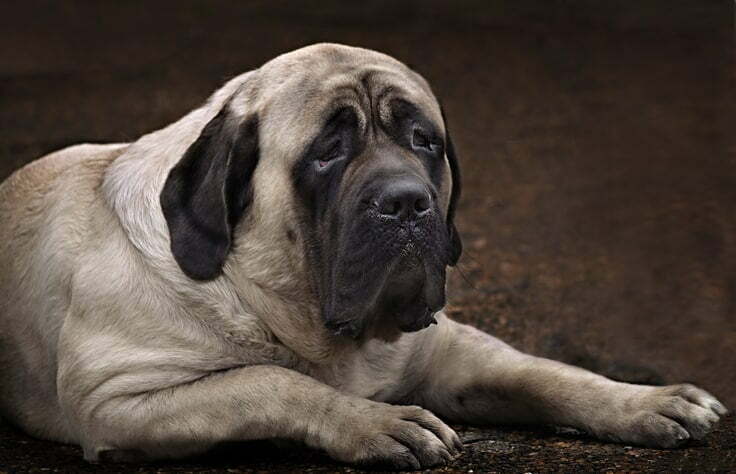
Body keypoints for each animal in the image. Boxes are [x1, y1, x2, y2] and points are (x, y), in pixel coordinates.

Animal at [0, 43, 724, 466]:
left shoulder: (446, 347)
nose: (405, 202)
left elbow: (546, 373)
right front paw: (373, 422)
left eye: (424, 142)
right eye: (327, 152)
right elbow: (267, 382)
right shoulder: (117, 399)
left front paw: (644, 401)